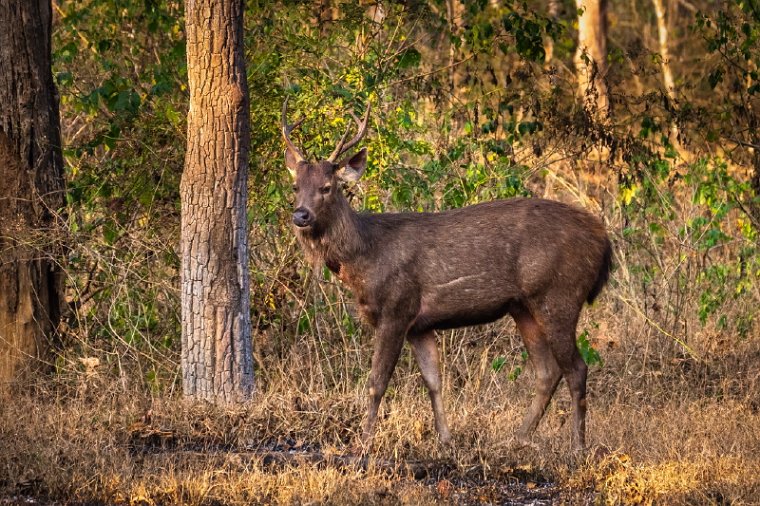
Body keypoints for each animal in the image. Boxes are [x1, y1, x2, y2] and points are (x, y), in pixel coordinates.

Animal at [284, 100, 612, 450]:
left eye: (327, 188)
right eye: (295, 186)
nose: (301, 215)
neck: (365, 257)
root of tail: (603, 241)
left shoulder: (397, 308)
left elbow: (376, 382)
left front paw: (364, 441)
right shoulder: (420, 324)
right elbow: (433, 381)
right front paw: (445, 438)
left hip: (559, 295)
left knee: (576, 368)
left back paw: (577, 446)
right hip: (524, 307)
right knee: (547, 371)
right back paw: (520, 437)